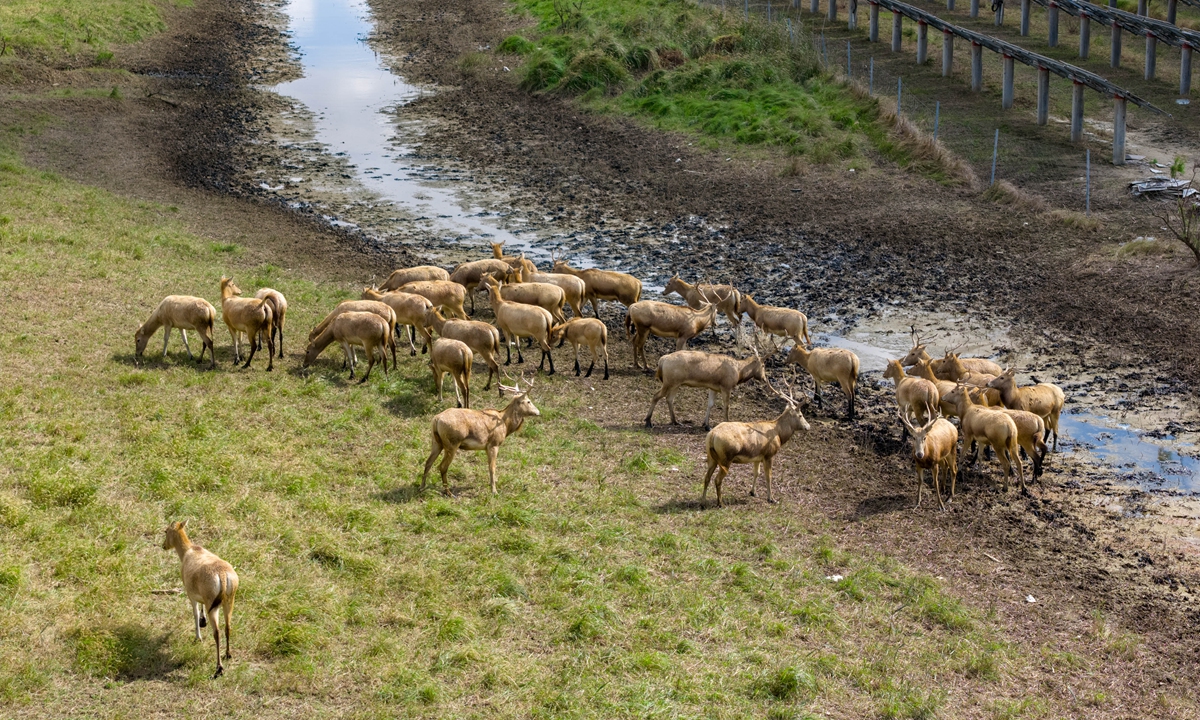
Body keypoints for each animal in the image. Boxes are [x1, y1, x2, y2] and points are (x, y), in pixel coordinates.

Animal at [161, 521, 238, 679]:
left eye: (166, 531)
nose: (163, 545)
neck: (189, 551)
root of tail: (222, 576)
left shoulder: (190, 595)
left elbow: (195, 613)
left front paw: (198, 637)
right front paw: (203, 622)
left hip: (213, 605)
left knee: (217, 632)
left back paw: (219, 668)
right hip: (229, 601)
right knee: (228, 627)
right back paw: (228, 654)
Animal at [700, 378, 810, 508]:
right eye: (801, 415)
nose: (808, 426)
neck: (779, 434)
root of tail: (712, 435)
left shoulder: (757, 457)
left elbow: (756, 473)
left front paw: (753, 492)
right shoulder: (769, 455)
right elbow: (768, 476)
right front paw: (771, 499)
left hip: (711, 456)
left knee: (706, 477)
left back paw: (703, 502)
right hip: (726, 458)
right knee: (717, 479)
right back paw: (720, 503)